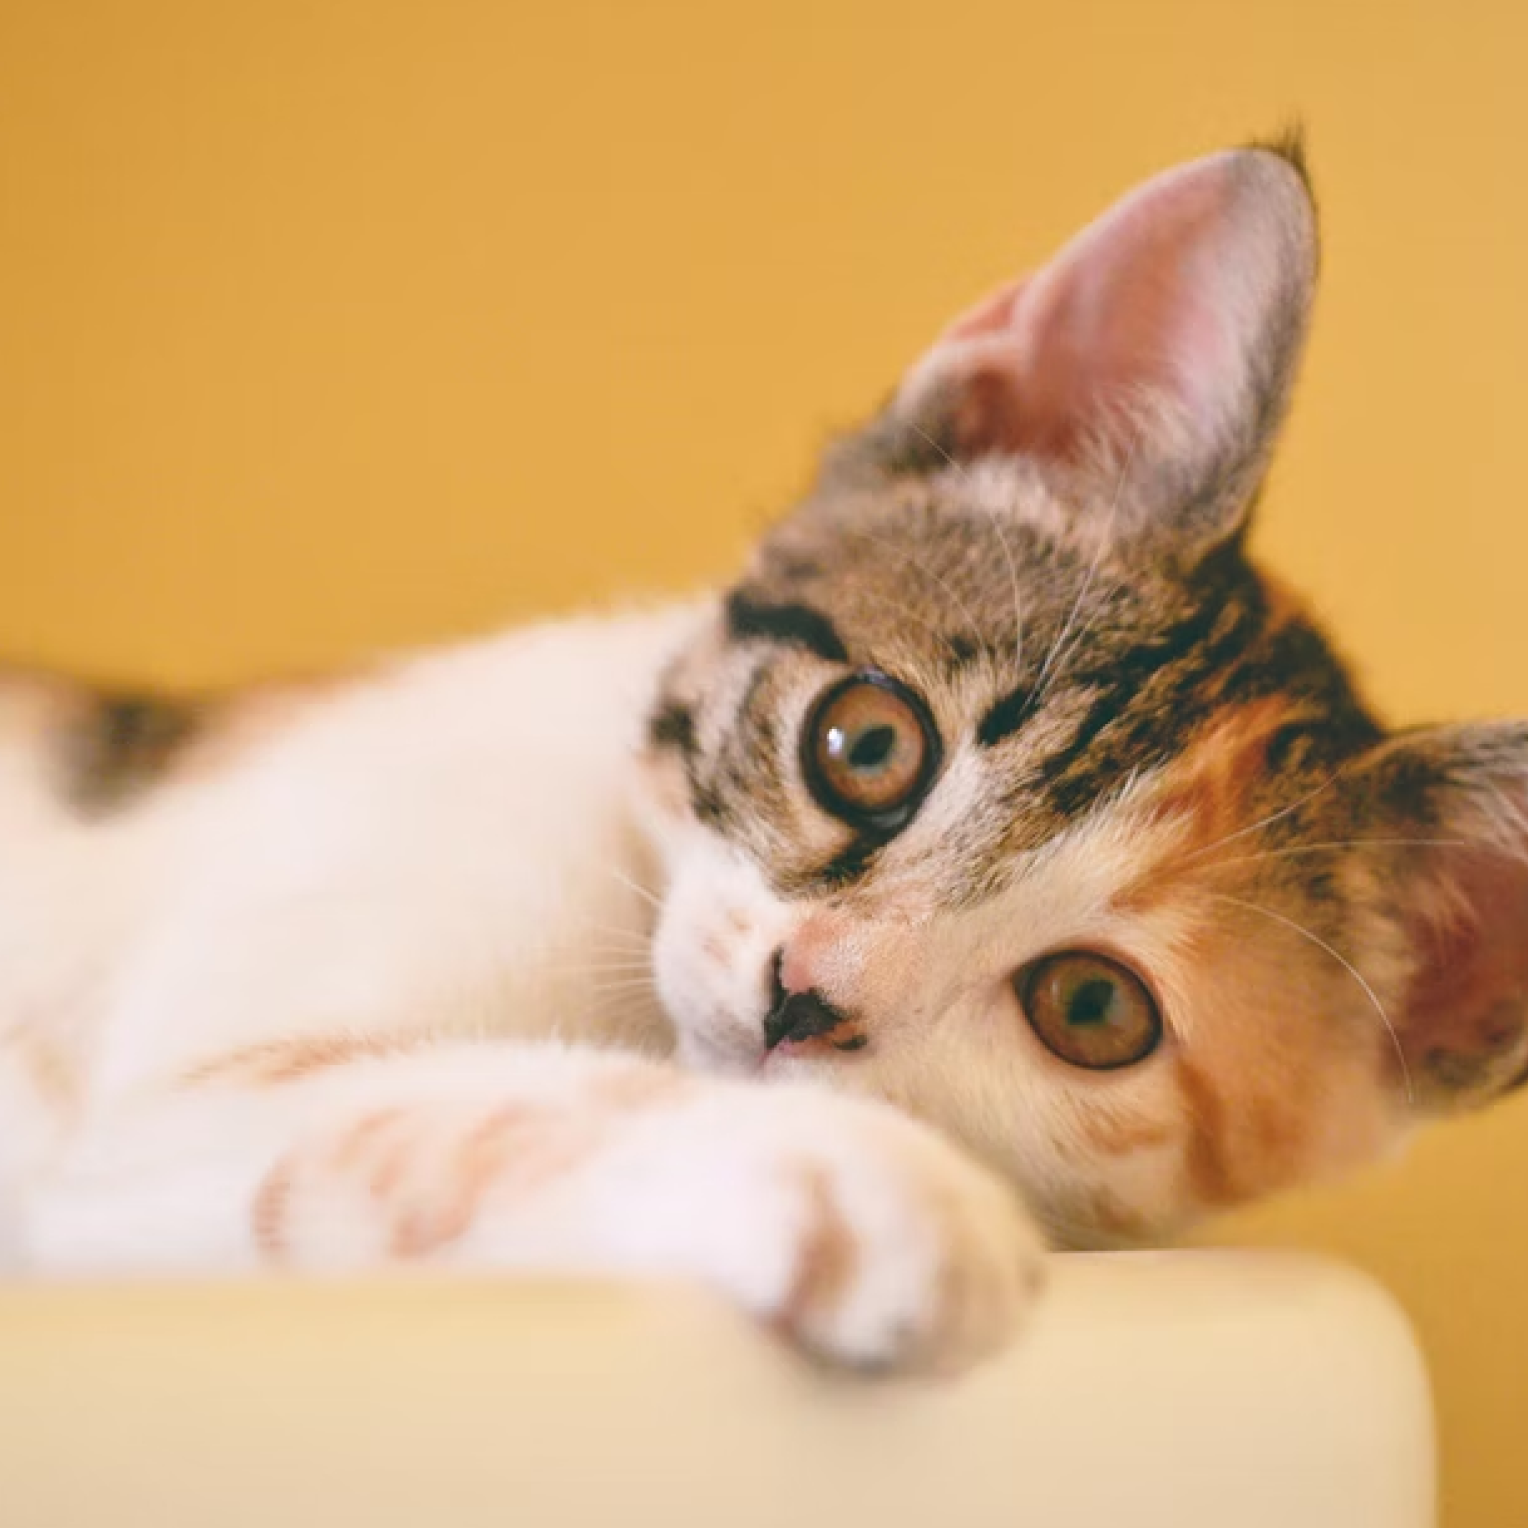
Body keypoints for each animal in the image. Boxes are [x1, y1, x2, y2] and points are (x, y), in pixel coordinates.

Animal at [0, 143, 1521, 1381]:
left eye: (1094, 1010)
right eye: (866, 744)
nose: (806, 998)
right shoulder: (140, 1129)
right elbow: (438, 1101)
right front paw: (857, 1185)